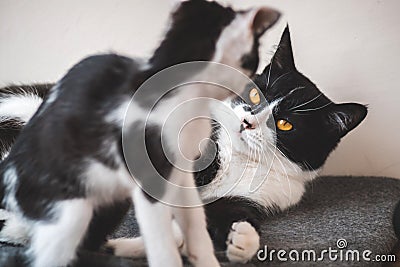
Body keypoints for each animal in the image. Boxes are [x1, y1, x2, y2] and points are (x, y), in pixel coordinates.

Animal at [0, 1, 278, 266]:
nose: (247, 87)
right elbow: (161, 241)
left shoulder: (183, 172)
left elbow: (195, 223)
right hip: (69, 209)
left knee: (90, 243)